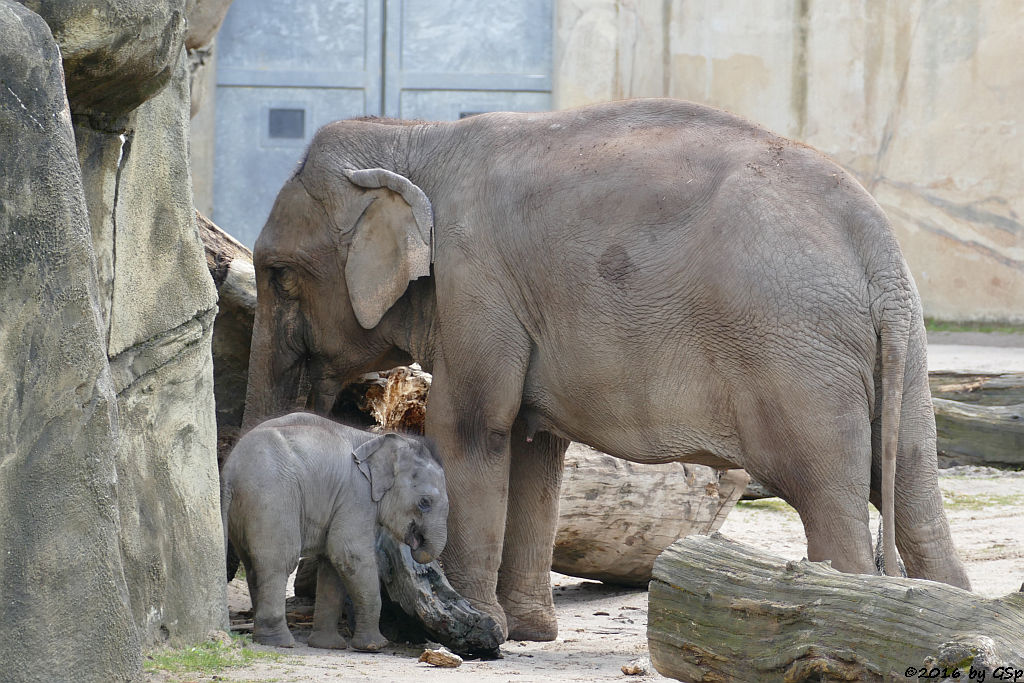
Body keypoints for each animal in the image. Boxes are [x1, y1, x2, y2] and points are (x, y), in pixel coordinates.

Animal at [220, 411, 448, 651]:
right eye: (425, 503)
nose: (416, 542)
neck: (375, 439)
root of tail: (229, 471)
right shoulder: (356, 495)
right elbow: (348, 554)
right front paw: (374, 646)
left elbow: (332, 562)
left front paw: (328, 646)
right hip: (272, 497)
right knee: (280, 561)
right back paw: (281, 642)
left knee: (253, 564)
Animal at [243, 98, 970, 643]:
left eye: (279, 275)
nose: (279, 613)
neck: (413, 138)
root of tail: (877, 247)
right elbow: (534, 449)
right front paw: (526, 632)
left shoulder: (476, 282)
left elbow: (470, 428)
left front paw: (462, 628)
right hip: (899, 359)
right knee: (915, 497)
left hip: (799, 361)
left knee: (828, 501)